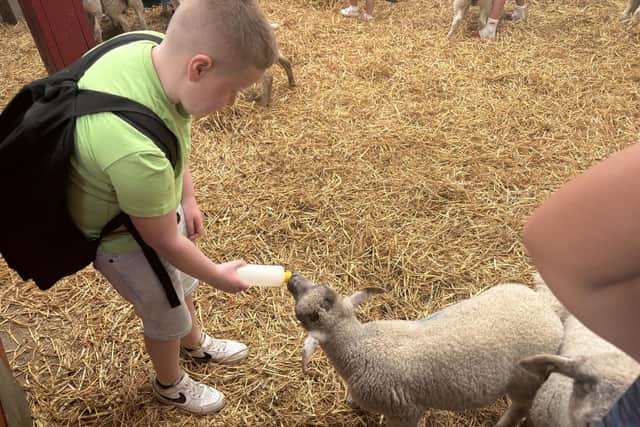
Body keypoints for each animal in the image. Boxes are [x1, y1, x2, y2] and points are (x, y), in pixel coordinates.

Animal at [287, 273, 564, 427]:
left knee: (520, 408)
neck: (360, 345)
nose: (293, 278)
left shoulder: (404, 413)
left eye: (305, 317)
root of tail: (546, 306)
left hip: (525, 380)